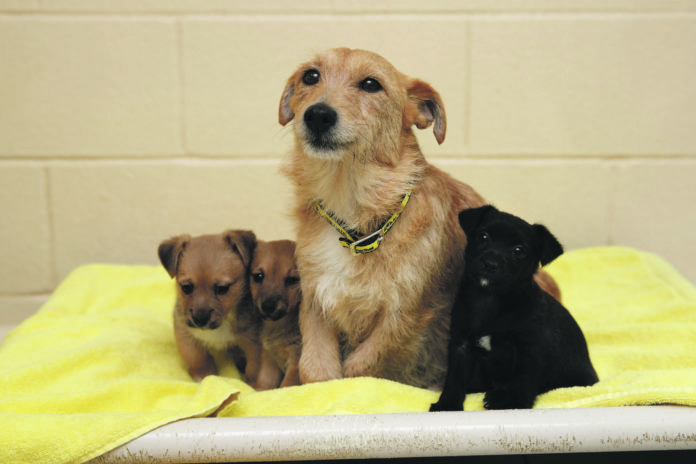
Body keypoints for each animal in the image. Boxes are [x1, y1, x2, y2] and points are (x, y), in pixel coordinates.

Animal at [159, 230, 268, 386]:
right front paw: (203, 375)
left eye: (222, 288)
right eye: (186, 287)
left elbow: (254, 367)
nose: (200, 320)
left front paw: (252, 384)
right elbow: (196, 357)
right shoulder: (184, 332)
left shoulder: (253, 341)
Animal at [251, 239, 304, 388]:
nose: (268, 306)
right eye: (259, 276)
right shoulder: (269, 361)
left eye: (292, 279)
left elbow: (286, 385)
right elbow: (264, 384)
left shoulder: (295, 361)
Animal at [278, 47, 560, 388]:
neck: (358, 223)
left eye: (371, 84)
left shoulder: (405, 317)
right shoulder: (315, 298)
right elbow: (317, 371)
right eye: (311, 76)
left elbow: (361, 367)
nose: (318, 115)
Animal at [430, 205, 600, 412]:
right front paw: (447, 404)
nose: (490, 263)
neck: (490, 298)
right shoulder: (461, 344)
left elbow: (523, 380)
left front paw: (515, 403)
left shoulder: (530, 350)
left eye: (519, 251)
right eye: (483, 236)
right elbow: (455, 378)